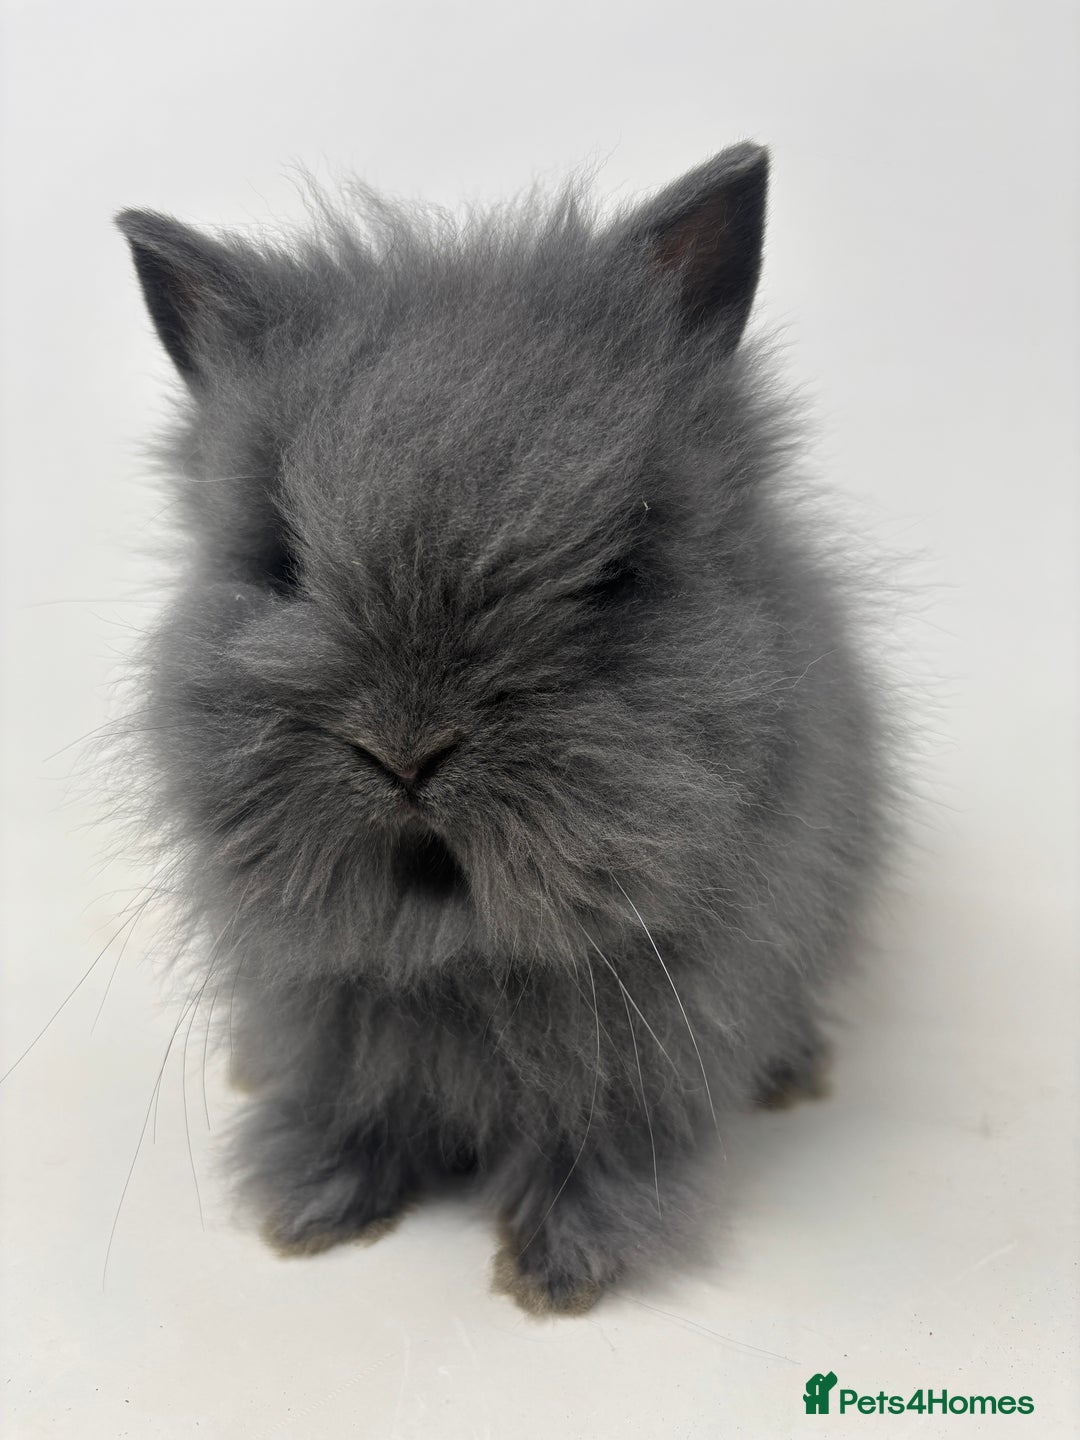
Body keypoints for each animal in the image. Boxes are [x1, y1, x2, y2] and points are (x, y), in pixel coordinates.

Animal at [115, 141, 892, 1314]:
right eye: (279, 563)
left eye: (616, 571)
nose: (406, 752)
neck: (457, 944)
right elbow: (347, 1104)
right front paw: (312, 1210)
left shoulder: (645, 1058)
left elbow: (604, 1143)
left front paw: (560, 1268)